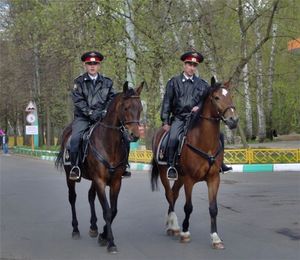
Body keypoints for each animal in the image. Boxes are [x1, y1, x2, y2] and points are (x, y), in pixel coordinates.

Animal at [56, 82, 145, 254]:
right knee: (72, 198)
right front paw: (110, 243)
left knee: (90, 196)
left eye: (140, 108)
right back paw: (75, 230)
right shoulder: (100, 181)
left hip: (93, 180)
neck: (109, 143)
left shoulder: (116, 182)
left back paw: (93, 227)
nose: (135, 135)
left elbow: (113, 210)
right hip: (71, 177)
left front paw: (103, 236)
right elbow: (107, 211)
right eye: (126, 108)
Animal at [151, 76, 238, 250]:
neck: (204, 142)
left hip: (180, 178)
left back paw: (173, 225)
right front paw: (185, 233)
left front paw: (215, 238)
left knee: (174, 194)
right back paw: (173, 226)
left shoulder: (213, 179)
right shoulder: (190, 180)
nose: (233, 120)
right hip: (166, 174)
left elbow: (213, 208)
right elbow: (188, 207)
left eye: (230, 96)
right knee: (169, 195)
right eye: (216, 97)